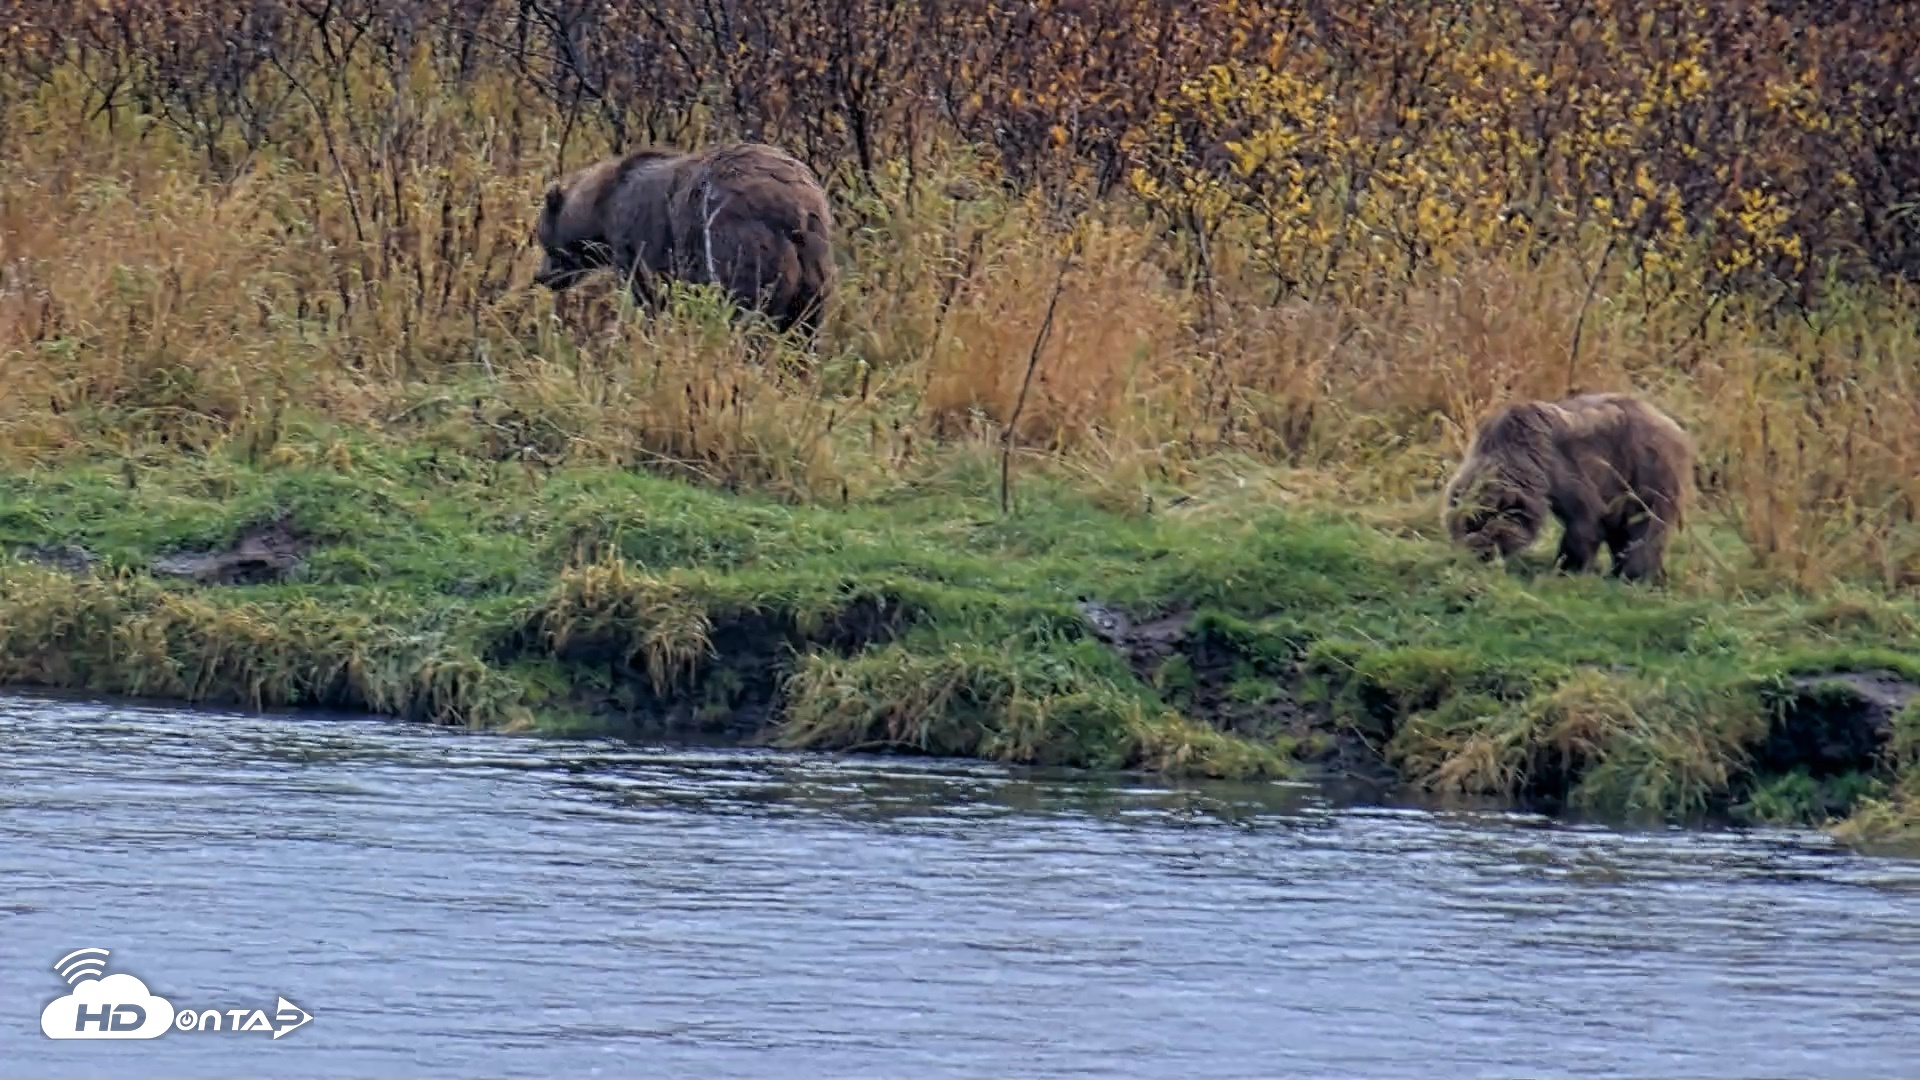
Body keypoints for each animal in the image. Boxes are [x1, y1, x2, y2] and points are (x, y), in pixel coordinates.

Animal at [533, 141, 835, 339]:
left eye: (541, 238)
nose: (540, 276)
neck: (602, 209)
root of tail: (796, 210)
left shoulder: (639, 238)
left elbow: (649, 293)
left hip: (739, 244)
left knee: (746, 309)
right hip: (815, 263)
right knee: (805, 324)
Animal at [1442, 392, 1694, 583]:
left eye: (1479, 523)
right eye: (1462, 527)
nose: (1472, 557)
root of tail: (1675, 427)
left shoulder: (1568, 470)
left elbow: (1585, 521)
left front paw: (1567, 567)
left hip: (1646, 470)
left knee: (1645, 525)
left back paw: (1637, 575)